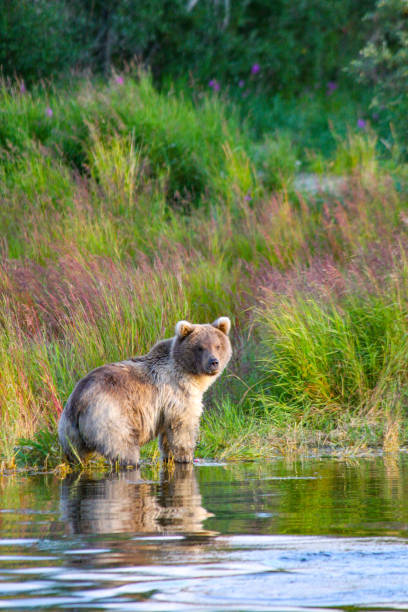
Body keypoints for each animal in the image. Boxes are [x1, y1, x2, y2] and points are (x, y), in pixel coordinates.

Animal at [57, 318, 231, 466]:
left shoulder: (166, 408)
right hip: (111, 416)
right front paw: (186, 457)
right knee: (123, 447)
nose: (213, 362)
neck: (190, 374)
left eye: (218, 346)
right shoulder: (177, 392)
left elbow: (167, 436)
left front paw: (169, 457)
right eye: (200, 347)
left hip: (69, 431)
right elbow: (183, 427)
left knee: (76, 455)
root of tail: (79, 399)